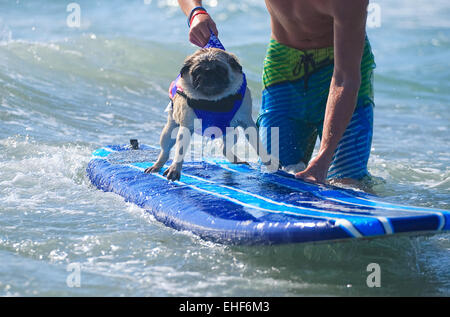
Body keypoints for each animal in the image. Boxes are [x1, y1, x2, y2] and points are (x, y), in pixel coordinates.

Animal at [146, 47, 276, 180]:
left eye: (220, 70)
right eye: (197, 71)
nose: (208, 72)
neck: (213, 101)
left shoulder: (247, 123)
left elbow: (259, 145)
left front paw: (270, 162)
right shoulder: (186, 127)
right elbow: (180, 150)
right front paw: (175, 168)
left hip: (231, 133)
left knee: (224, 148)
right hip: (169, 131)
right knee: (165, 151)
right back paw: (157, 165)